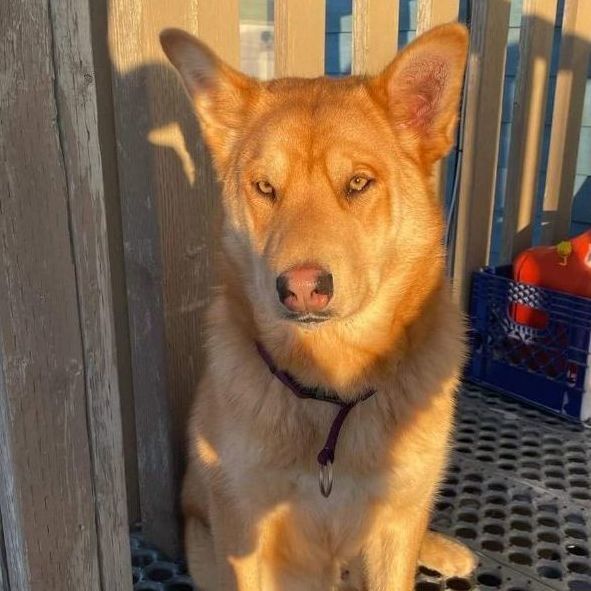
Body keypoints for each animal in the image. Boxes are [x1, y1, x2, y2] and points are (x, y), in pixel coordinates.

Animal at [161, 24, 476, 591]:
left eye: (358, 183)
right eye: (265, 187)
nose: (303, 288)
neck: (332, 389)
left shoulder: (393, 527)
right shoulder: (243, 536)